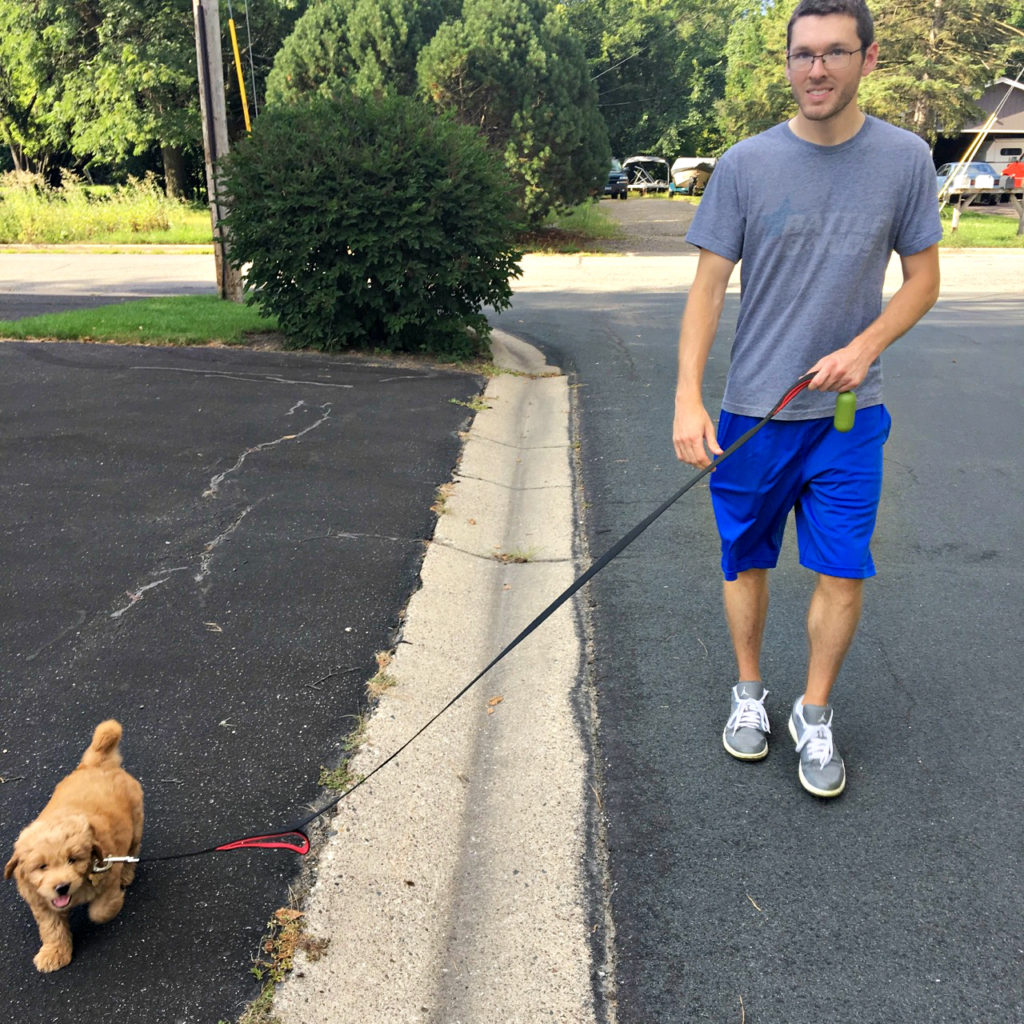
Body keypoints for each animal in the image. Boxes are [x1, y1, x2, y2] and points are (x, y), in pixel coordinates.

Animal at [4, 716, 144, 970]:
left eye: (73, 859)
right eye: (42, 867)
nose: (62, 887)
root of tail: (97, 764)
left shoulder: (108, 871)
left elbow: (100, 910)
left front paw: (112, 905)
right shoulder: (41, 902)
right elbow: (52, 928)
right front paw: (54, 953)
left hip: (136, 822)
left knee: (132, 851)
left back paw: (127, 876)